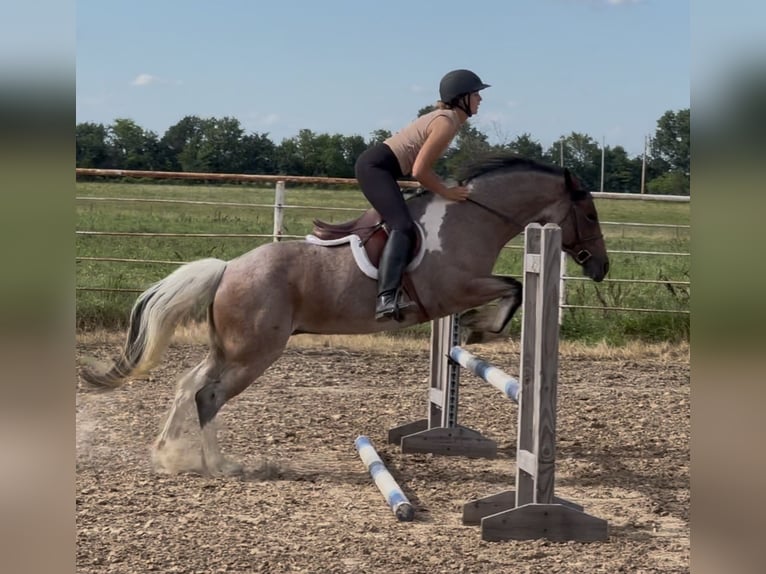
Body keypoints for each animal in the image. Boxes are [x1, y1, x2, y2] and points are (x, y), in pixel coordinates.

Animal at [81, 154, 609, 476]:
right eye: (589, 215)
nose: (601, 267)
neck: (470, 218)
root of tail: (228, 268)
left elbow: (510, 291)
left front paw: (477, 331)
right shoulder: (455, 291)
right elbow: (514, 288)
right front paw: (481, 329)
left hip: (229, 348)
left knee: (187, 383)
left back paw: (168, 455)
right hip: (255, 353)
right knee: (207, 395)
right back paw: (221, 466)